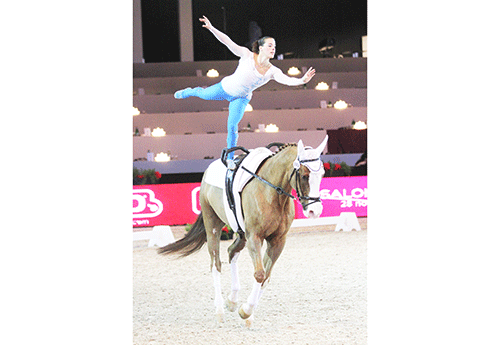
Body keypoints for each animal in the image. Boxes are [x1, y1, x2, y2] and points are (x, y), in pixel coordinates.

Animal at [157, 135, 328, 326]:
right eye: (305, 176)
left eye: (322, 174)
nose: (315, 211)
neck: (272, 192)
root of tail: (209, 169)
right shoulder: (254, 237)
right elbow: (260, 274)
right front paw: (246, 311)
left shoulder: (278, 240)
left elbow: (266, 277)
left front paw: (247, 312)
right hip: (213, 226)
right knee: (215, 264)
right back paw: (219, 310)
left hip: (241, 233)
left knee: (232, 251)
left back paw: (232, 301)